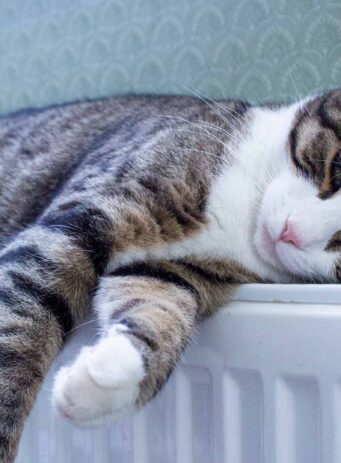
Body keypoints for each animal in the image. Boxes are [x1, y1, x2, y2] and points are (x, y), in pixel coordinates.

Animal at [0, 89, 340, 460]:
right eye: (337, 167)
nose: (293, 233)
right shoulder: (84, 219)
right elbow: (20, 323)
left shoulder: (179, 270)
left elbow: (161, 304)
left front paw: (110, 375)